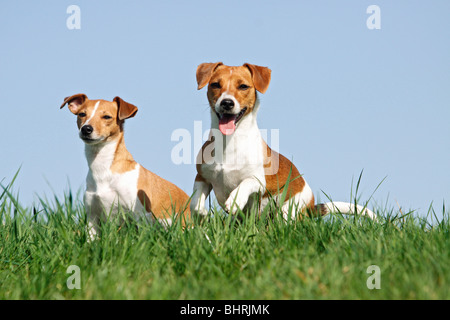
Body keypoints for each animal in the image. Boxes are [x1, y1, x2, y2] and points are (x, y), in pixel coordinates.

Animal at [60, 94, 190, 236]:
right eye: (82, 114)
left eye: (107, 117)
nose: (86, 129)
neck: (103, 168)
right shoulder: (92, 218)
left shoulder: (140, 215)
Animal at [191, 63, 376, 221]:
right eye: (215, 84)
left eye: (243, 86)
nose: (227, 102)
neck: (229, 142)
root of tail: (310, 207)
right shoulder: (202, 177)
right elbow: (195, 205)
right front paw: (203, 213)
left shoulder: (259, 181)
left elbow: (245, 183)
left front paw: (235, 200)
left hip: (289, 210)